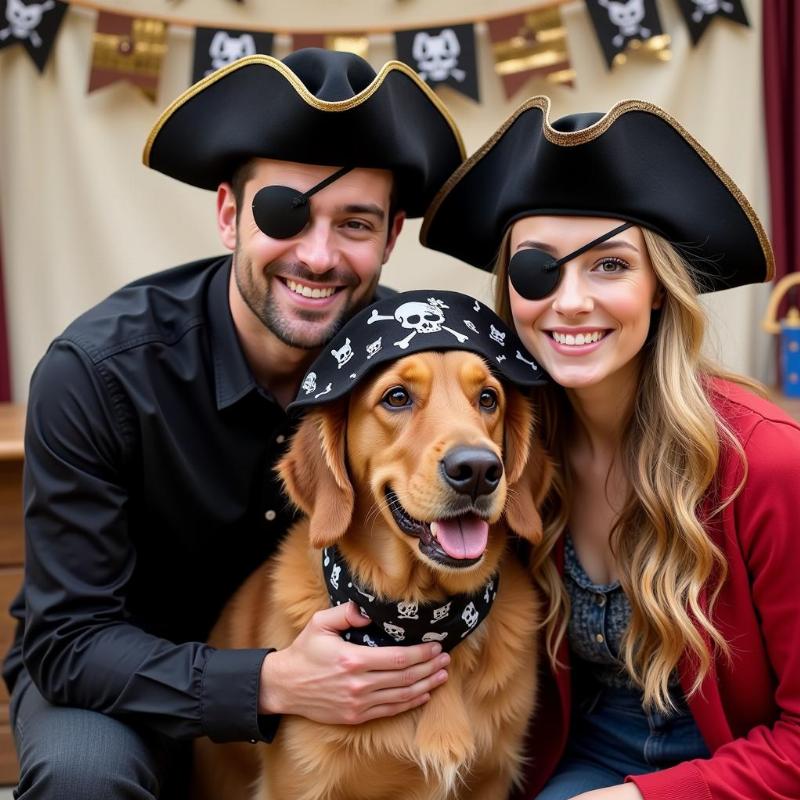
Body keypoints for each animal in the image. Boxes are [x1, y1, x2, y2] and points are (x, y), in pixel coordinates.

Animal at [194, 350, 552, 800]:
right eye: (397, 397)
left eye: (488, 399)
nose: (477, 469)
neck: (423, 621)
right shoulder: (299, 782)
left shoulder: (489, 781)